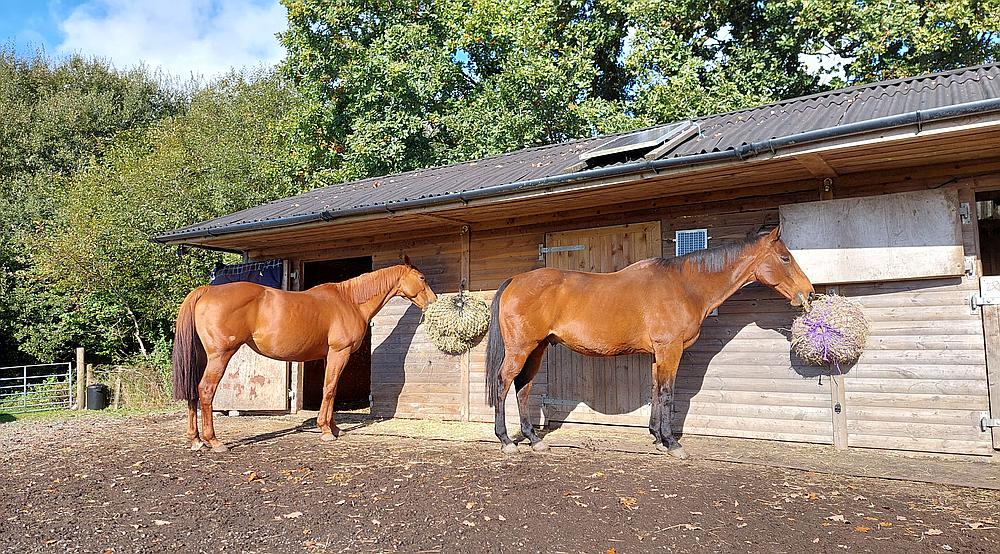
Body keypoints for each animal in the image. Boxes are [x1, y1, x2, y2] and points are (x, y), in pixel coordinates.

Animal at [173, 256, 438, 450]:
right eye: (422, 277)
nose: (434, 302)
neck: (349, 301)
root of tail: (207, 291)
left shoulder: (329, 356)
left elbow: (331, 389)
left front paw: (334, 428)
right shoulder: (339, 353)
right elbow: (329, 389)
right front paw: (326, 431)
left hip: (202, 357)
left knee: (193, 391)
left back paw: (195, 439)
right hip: (220, 355)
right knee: (206, 390)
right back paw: (214, 441)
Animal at [484, 229, 812, 458]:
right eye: (785, 258)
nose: (808, 292)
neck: (685, 286)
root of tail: (515, 280)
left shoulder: (658, 354)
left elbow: (655, 390)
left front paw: (657, 437)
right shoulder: (670, 349)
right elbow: (667, 393)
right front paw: (672, 443)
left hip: (537, 348)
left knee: (523, 387)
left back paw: (534, 440)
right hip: (521, 348)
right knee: (503, 382)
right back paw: (506, 441)